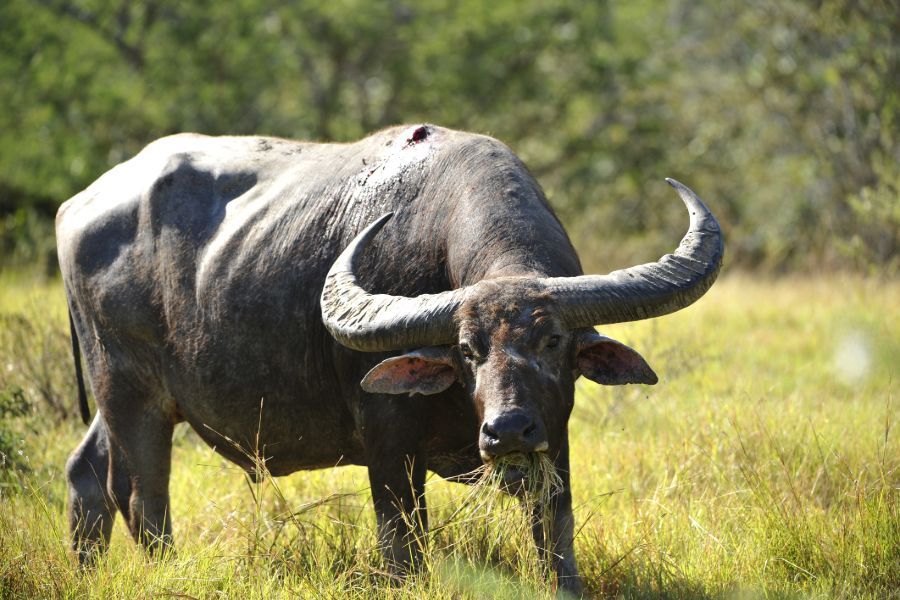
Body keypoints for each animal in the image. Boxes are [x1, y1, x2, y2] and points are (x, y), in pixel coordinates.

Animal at [58, 123, 724, 596]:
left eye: (553, 342)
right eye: (466, 351)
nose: (507, 430)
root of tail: (76, 207)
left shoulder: (553, 440)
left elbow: (555, 539)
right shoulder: (387, 444)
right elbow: (403, 550)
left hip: (119, 401)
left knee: (87, 474)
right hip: (127, 392)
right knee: (141, 499)